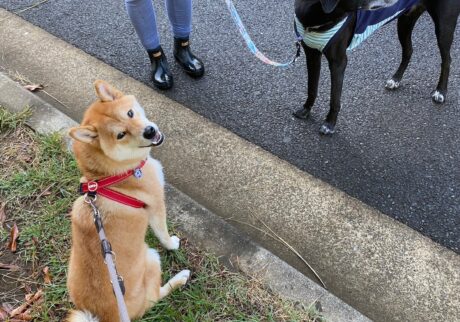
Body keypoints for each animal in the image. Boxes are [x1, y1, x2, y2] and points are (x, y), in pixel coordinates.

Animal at [65, 80, 190, 322]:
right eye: (121, 134)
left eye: (130, 113)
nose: (149, 131)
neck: (108, 176)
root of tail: (106, 316)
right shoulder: (156, 204)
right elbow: (163, 234)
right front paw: (172, 244)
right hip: (151, 257)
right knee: (156, 296)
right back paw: (180, 278)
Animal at [294, 0, 460, 135]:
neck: (318, 16)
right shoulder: (311, 53)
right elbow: (312, 87)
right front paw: (306, 110)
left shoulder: (338, 62)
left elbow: (335, 97)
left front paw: (329, 124)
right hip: (406, 20)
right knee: (408, 51)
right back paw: (396, 79)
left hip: (444, 26)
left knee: (447, 60)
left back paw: (440, 91)